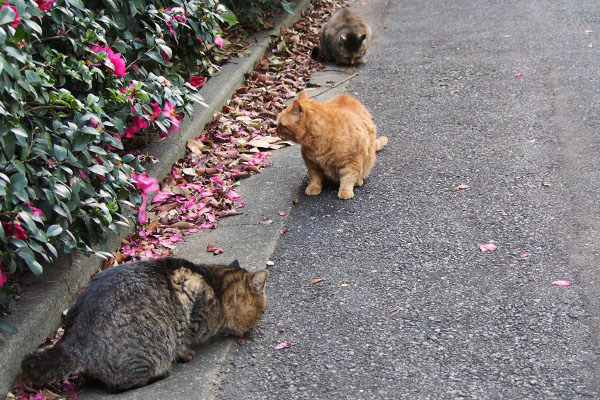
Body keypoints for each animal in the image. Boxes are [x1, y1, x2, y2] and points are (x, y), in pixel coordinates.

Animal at [19, 258, 268, 392]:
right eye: (262, 311)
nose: (255, 328)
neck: (216, 285)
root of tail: (70, 341)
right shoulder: (190, 303)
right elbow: (182, 339)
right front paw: (186, 353)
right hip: (144, 353)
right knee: (120, 385)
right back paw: (160, 373)